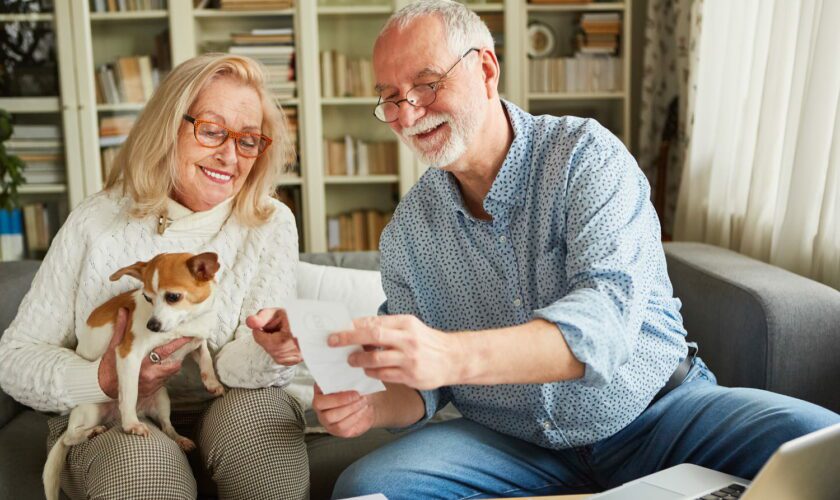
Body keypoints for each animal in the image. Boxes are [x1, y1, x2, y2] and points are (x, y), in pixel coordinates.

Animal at [42, 252, 225, 500]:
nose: (152, 325)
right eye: (147, 298)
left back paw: (178, 438)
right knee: (70, 436)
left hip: (162, 398)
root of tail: (112, 418)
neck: (187, 322)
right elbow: (129, 394)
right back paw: (92, 432)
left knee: (167, 425)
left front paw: (212, 382)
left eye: (173, 297)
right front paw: (131, 425)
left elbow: (205, 357)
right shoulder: (128, 355)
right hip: (91, 409)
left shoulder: (195, 341)